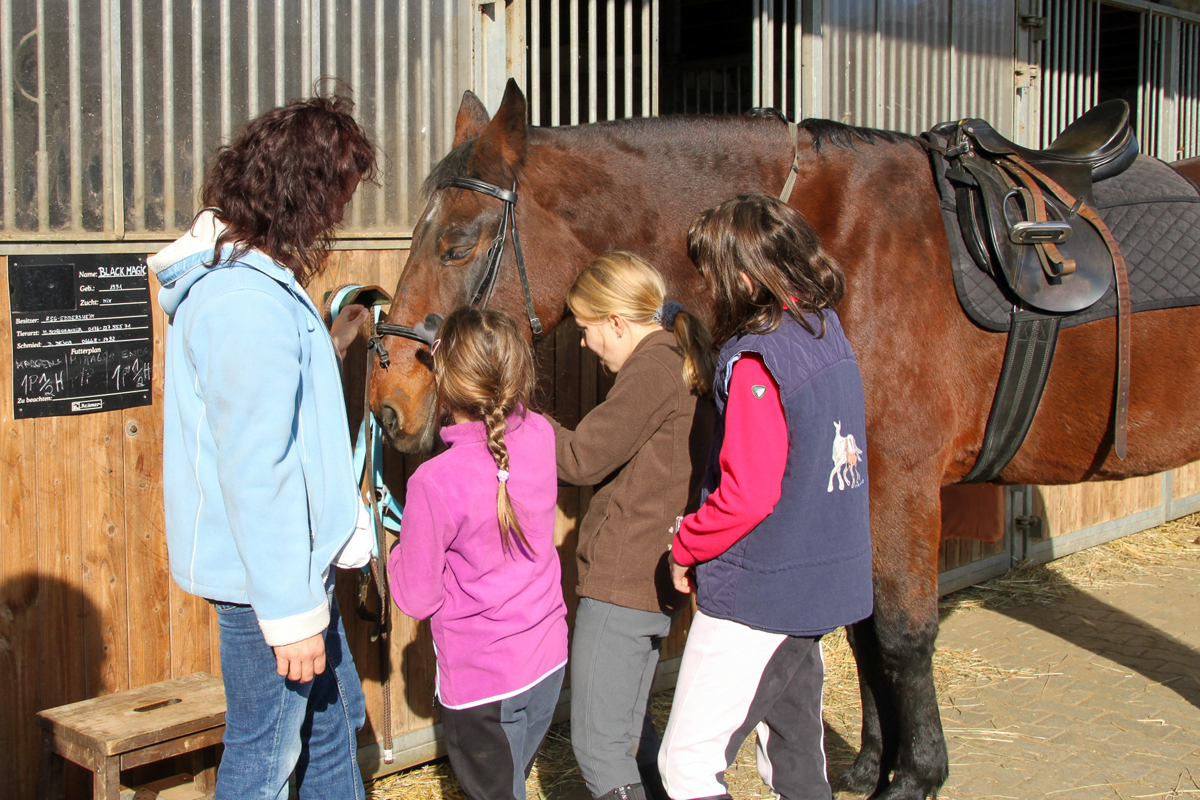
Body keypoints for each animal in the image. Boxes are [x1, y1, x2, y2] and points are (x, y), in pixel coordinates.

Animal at [369, 77, 1200, 796]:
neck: (825, 249)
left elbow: (902, 633)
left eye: (458, 242)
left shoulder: (897, 478)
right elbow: (861, 627)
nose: (387, 403)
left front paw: (916, 776)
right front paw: (868, 767)